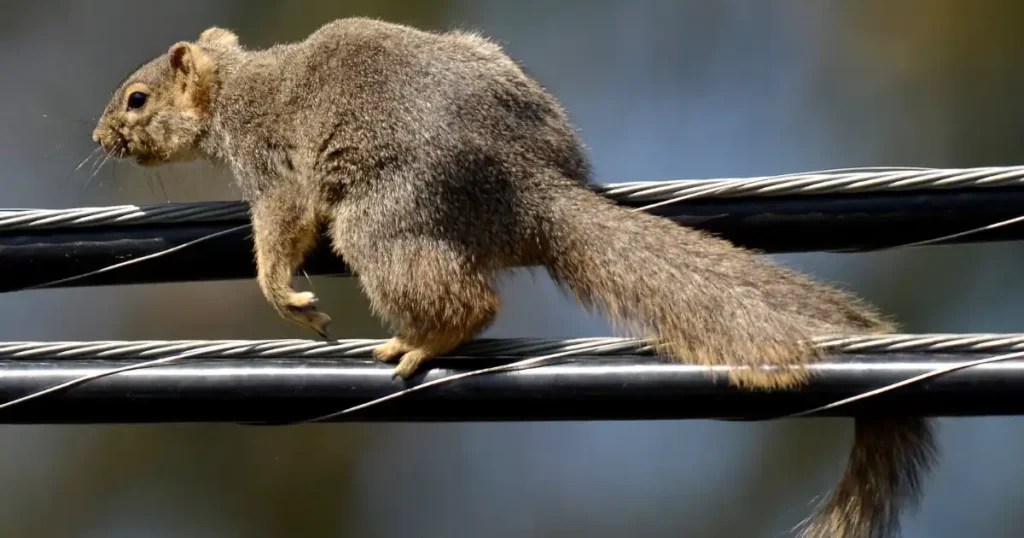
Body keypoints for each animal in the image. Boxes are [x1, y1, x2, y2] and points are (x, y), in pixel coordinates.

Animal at [92, 18, 935, 537]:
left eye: (136, 98)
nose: (101, 137)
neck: (236, 85)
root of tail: (527, 185)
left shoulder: (271, 164)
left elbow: (280, 227)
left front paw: (284, 293)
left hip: (383, 214)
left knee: (469, 299)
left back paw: (424, 341)